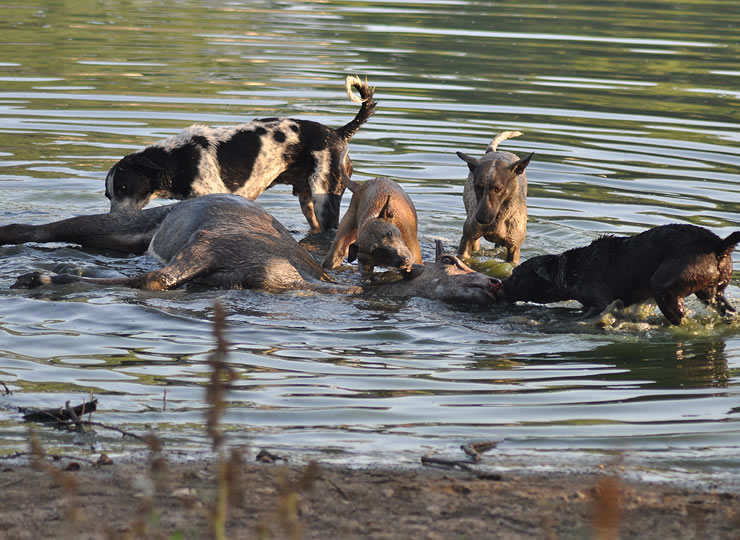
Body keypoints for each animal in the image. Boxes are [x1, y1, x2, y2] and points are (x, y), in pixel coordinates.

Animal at [102, 76, 376, 232]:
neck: (180, 160)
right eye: (108, 195)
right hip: (308, 204)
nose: (110, 220)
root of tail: (338, 133)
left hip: (324, 200)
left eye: (124, 187)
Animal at [456, 132, 532, 264]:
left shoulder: (514, 248)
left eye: (497, 189)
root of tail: (493, 151)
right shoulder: (467, 239)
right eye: (478, 187)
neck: (498, 218)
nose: (482, 219)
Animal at [502, 224, 740, 324]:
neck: (569, 269)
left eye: (516, 276)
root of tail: (719, 246)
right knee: (724, 307)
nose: (501, 284)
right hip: (712, 290)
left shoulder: (598, 301)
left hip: (666, 283)